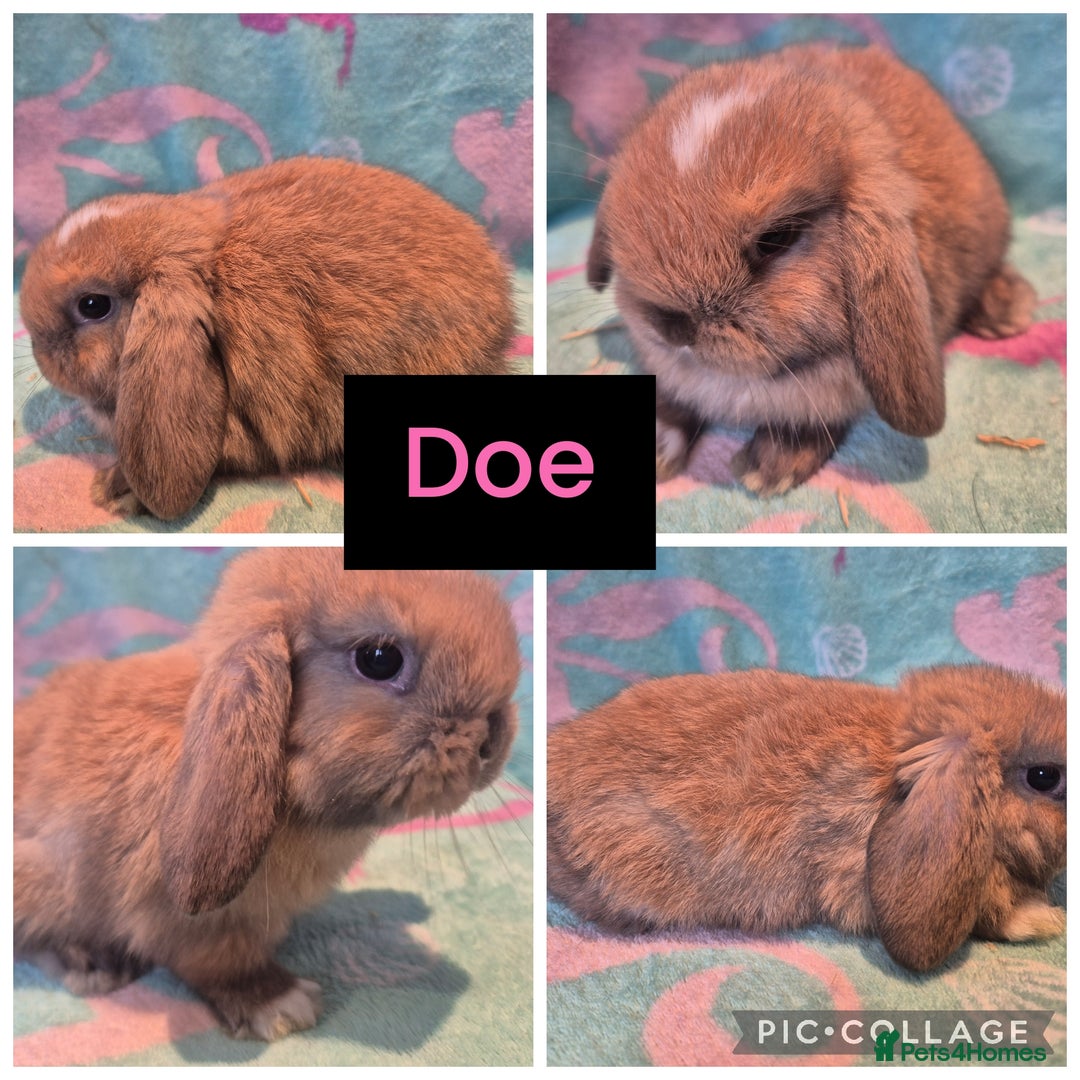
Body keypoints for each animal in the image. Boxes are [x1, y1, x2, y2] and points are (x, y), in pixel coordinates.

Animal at [14, 549, 522, 1040]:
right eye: (379, 658)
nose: (492, 741)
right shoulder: (188, 922)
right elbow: (223, 964)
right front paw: (282, 1007)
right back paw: (94, 966)